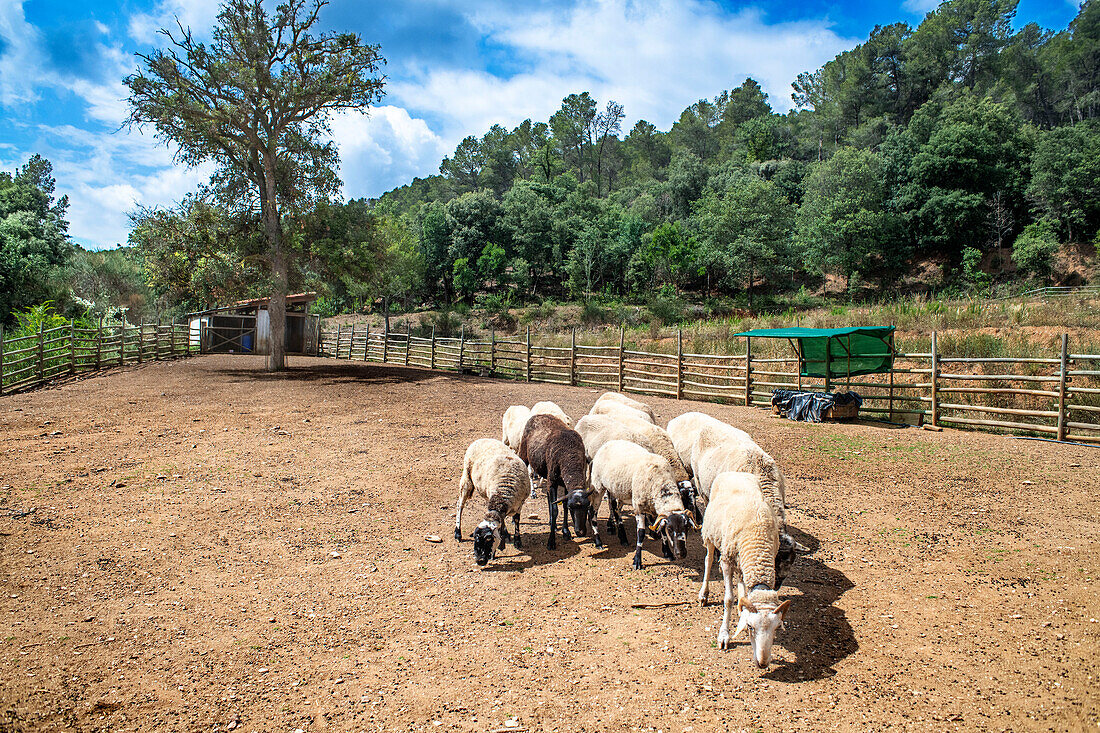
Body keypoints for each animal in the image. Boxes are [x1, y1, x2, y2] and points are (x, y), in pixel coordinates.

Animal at [517, 413, 602, 545]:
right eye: (573, 508)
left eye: (587, 507)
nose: (581, 532)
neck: (569, 455)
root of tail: (539, 414)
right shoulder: (552, 482)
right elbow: (555, 509)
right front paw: (551, 541)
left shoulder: (565, 486)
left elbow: (563, 506)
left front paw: (566, 531)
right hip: (524, 453)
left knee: (549, 498)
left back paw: (552, 523)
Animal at [589, 435, 699, 567]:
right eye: (670, 529)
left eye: (686, 527)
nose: (681, 554)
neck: (660, 480)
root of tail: (608, 443)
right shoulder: (638, 507)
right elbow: (641, 533)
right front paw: (637, 560)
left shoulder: (657, 511)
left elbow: (661, 529)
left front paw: (667, 553)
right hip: (598, 486)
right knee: (593, 513)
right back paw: (598, 542)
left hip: (617, 490)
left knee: (615, 509)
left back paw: (623, 538)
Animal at [695, 471, 792, 664]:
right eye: (751, 627)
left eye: (776, 628)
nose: (762, 663)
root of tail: (734, 473)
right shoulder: (726, 561)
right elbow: (728, 599)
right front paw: (724, 635)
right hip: (711, 534)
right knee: (708, 560)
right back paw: (704, 594)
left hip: (740, 561)